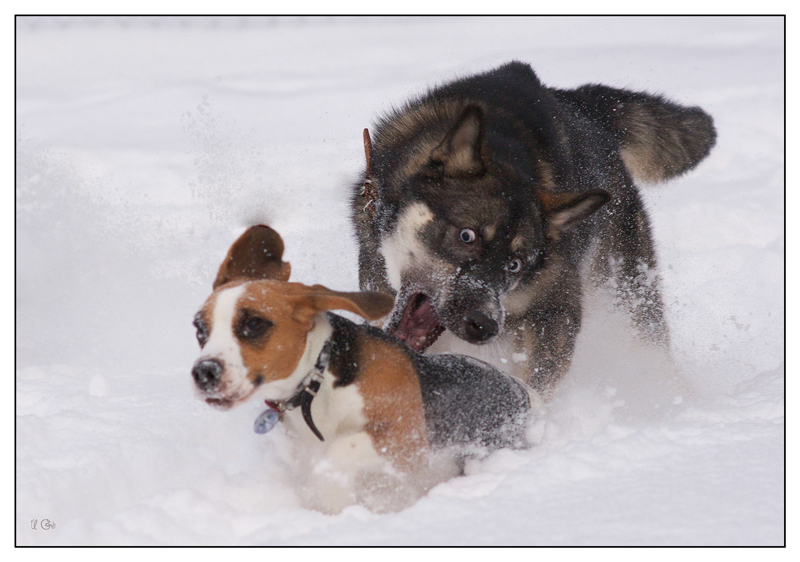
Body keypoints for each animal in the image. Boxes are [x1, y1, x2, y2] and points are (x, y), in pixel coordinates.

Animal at [190, 224, 536, 512]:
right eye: (199, 329)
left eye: (254, 324)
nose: (204, 372)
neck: (318, 383)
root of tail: (526, 396)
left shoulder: (404, 439)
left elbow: (341, 450)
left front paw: (333, 495)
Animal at [354, 60, 716, 394]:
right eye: (467, 236)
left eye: (515, 265)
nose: (484, 325)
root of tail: (581, 105)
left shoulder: (555, 305)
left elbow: (538, 378)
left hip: (627, 291)